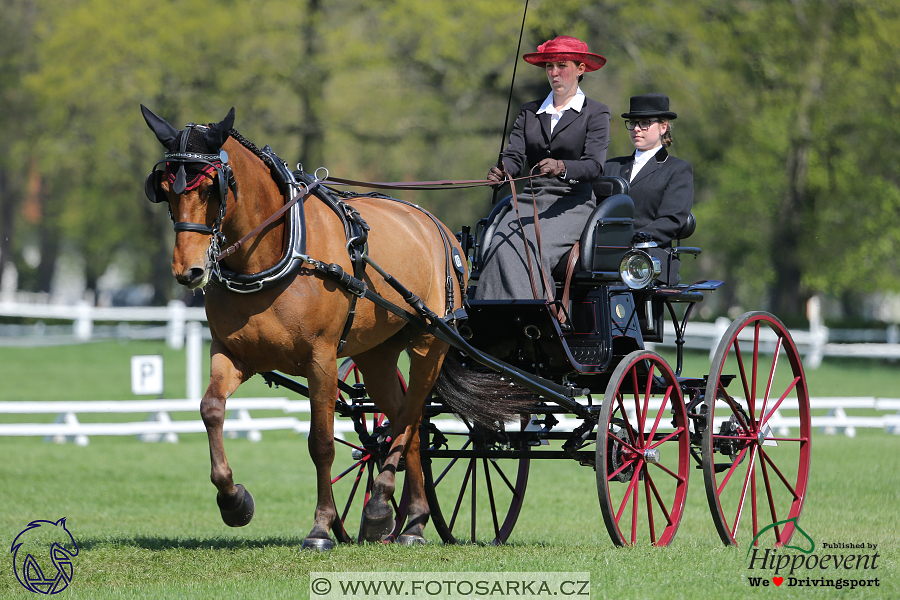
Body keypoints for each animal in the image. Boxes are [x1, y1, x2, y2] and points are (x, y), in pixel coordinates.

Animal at [142, 106, 468, 548]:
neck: (270, 256)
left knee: (409, 416)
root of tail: (438, 226)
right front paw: (233, 500)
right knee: (409, 422)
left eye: (211, 188)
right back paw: (412, 521)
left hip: (429, 342)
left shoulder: (321, 359)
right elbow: (210, 409)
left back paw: (381, 503)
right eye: (165, 189)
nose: (188, 270)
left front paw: (320, 527)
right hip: (376, 355)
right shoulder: (232, 353)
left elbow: (321, 443)